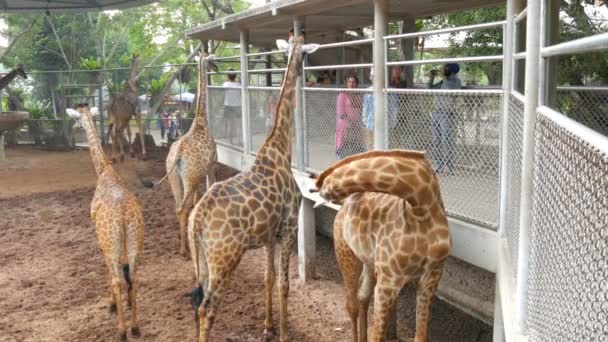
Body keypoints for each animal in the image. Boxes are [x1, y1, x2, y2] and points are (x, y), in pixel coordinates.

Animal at [67, 103, 146, 340]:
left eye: (76, 120)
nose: (74, 129)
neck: (104, 170)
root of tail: (123, 216)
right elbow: (126, 271)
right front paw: (127, 304)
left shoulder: (101, 239)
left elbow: (111, 273)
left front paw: (112, 304)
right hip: (135, 238)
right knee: (134, 277)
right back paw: (135, 327)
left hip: (111, 242)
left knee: (118, 279)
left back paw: (122, 331)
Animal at [141, 52, 217, 258]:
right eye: (211, 59)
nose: (215, 67)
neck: (201, 121)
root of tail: (177, 156)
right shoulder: (212, 165)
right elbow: (208, 191)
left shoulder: (198, 175)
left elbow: (197, 200)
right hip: (188, 177)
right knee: (183, 208)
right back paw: (185, 250)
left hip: (175, 177)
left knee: (178, 207)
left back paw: (182, 244)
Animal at [188, 32, 320, 342]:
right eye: (304, 54)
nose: (308, 72)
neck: (281, 148)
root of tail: (196, 221)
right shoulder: (289, 228)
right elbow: (284, 285)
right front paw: (283, 334)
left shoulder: (269, 236)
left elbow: (268, 278)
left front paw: (268, 326)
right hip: (224, 260)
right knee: (206, 309)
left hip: (201, 260)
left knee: (198, 304)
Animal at [314, 150, 452, 342]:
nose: (319, 197)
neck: (422, 208)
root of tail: (343, 210)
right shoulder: (388, 280)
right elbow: (377, 335)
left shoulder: (432, 277)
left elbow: (421, 336)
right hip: (346, 254)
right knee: (351, 305)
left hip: (369, 262)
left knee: (362, 296)